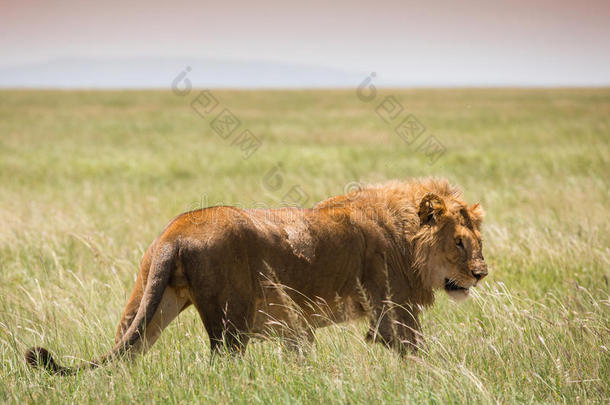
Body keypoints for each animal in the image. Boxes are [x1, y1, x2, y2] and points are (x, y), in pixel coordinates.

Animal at [26, 177, 486, 372]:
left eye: (477, 239)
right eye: (459, 242)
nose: (481, 274)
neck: (404, 234)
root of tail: (176, 233)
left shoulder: (296, 327)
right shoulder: (393, 311)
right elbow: (417, 352)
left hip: (149, 302)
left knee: (127, 349)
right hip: (231, 323)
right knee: (222, 366)